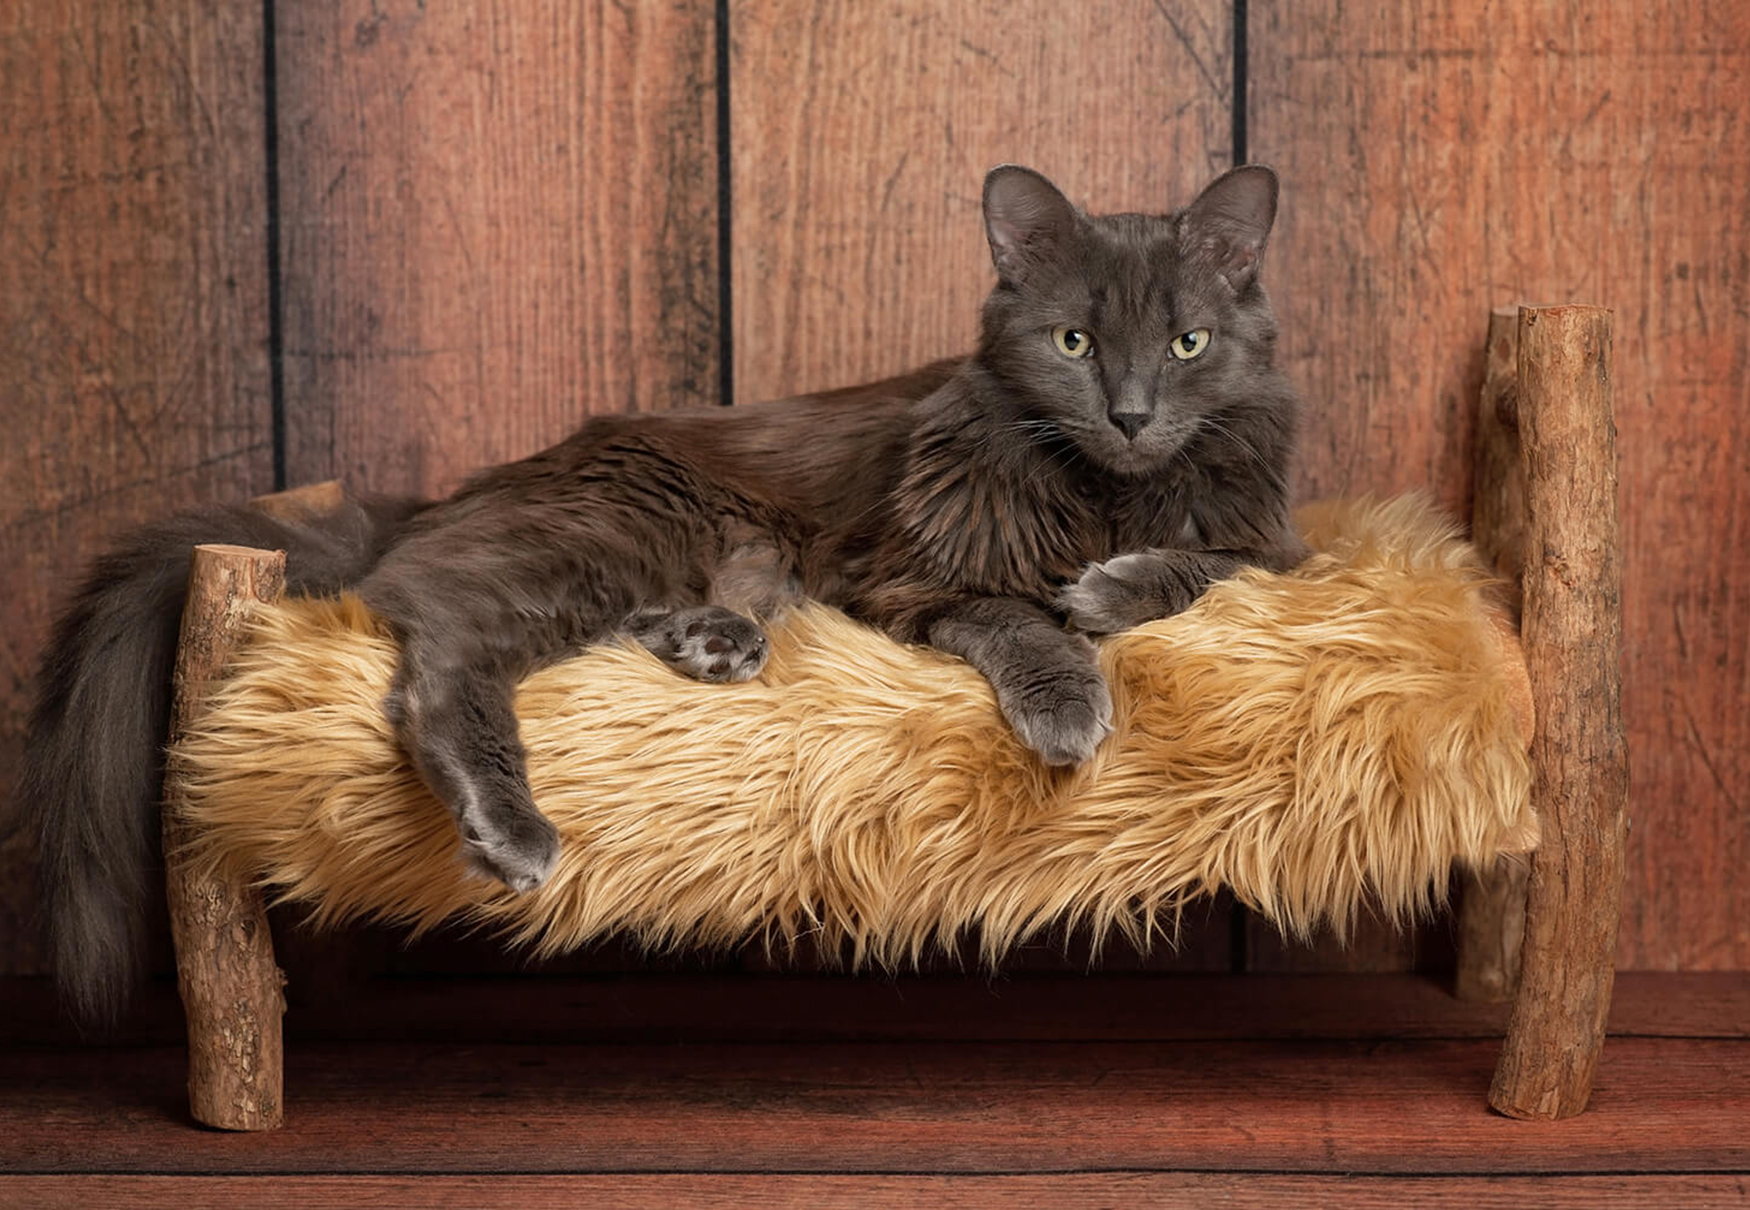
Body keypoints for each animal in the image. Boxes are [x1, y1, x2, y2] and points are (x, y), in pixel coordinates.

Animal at [20, 163, 1309, 1022]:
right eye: (1074, 342)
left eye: (1189, 344)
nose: (1131, 415)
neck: (1106, 493)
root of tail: (444, 495)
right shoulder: (911, 573)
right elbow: (1015, 616)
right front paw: (1068, 692)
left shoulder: (1283, 546)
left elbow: (1215, 561)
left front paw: (1114, 589)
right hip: (621, 529)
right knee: (439, 650)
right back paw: (512, 825)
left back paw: (709, 641)